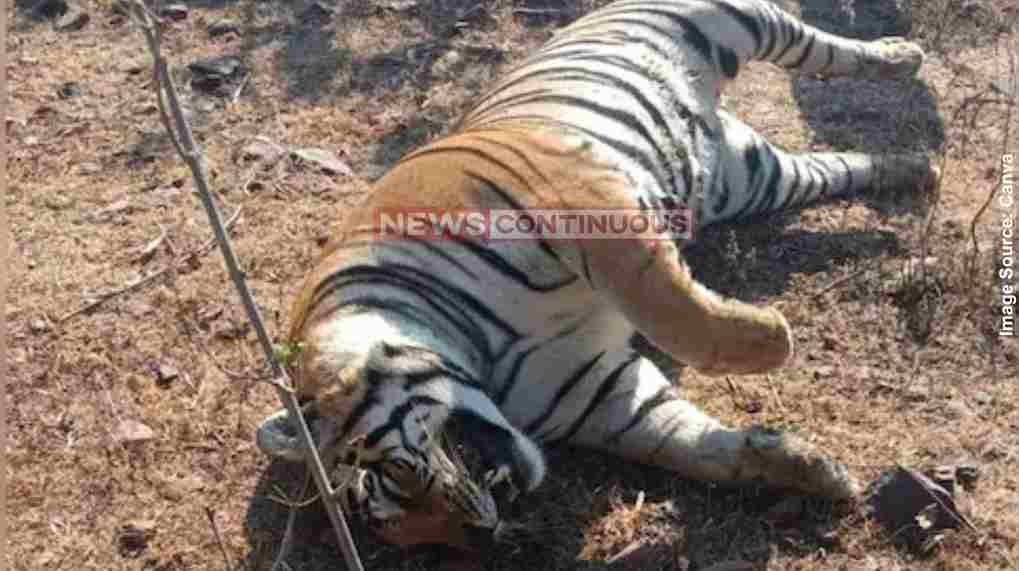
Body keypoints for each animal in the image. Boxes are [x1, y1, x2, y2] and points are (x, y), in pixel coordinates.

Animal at [256, 0, 937, 552]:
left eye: (398, 475)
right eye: (408, 535)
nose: (482, 532)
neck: (479, 359)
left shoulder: (577, 199)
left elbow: (670, 306)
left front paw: (772, 340)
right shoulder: (597, 394)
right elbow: (692, 446)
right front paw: (811, 471)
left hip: (725, 23)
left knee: (817, 47)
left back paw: (901, 57)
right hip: (757, 176)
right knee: (838, 165)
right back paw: (914, 169)